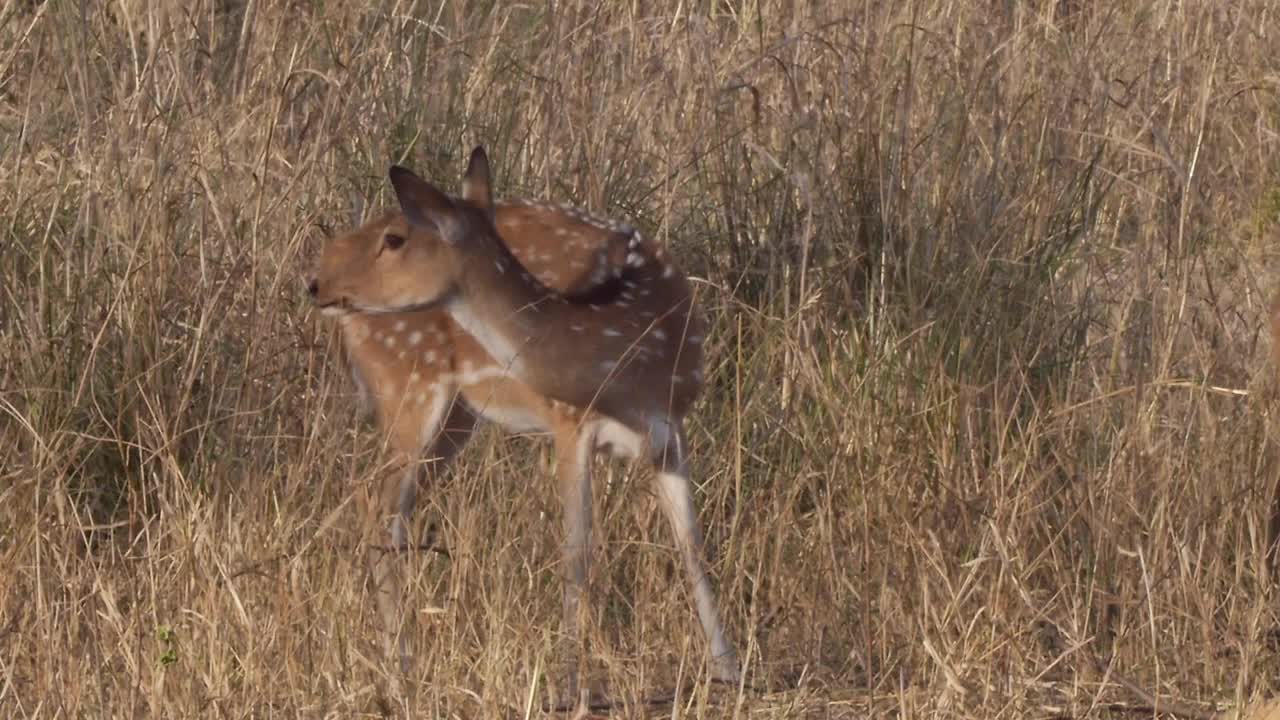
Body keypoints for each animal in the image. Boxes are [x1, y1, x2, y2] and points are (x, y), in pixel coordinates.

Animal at [305, 146, 742, 696]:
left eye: (396, 238)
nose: (317, 284)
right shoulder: (569, 422)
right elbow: (576, 552)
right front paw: (569, 680)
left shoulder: (671, 430)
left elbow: (692, 545)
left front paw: (730, 668)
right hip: (409, 387)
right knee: (375, 505)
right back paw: (400, 664)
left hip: (454, 418)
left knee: (386, 510)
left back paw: (402, 661)